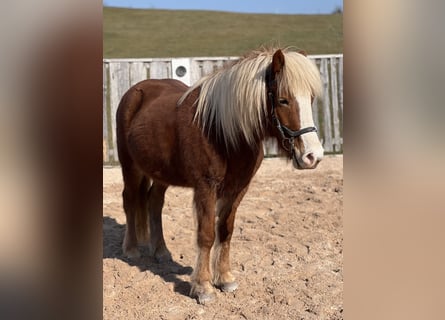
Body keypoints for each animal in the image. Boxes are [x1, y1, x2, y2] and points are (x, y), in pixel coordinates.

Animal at [114, 46, 322, 304]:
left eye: (310, 99)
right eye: (283, 100)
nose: (313, 156)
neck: (222, 130)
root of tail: (134, 92)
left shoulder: (238, 189)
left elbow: (226, 230)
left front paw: (224, 278)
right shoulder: (206, 188)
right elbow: (206, 234)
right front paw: (203, 287)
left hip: (161, 173)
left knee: (154, 203)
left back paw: (161, 251)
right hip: (130, 166)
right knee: (130, 200)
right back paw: (131, 249)